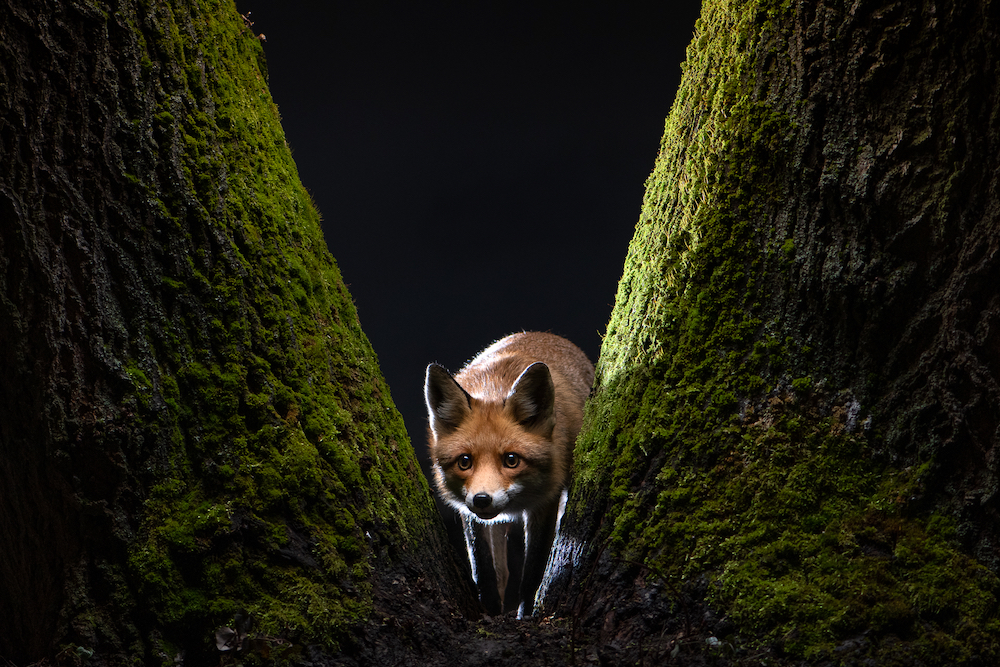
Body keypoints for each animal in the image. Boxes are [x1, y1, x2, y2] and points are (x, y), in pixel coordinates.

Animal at [424, 332, 592, 620]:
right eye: (465, 462)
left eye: (511, 460)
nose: (482, 499)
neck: (494, 387)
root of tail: (543, 333)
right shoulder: (468, 510)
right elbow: (483, 569)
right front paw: (489, 611)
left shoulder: (545, 503)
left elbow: (533, 570)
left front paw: (526, 615)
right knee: (502, 571)